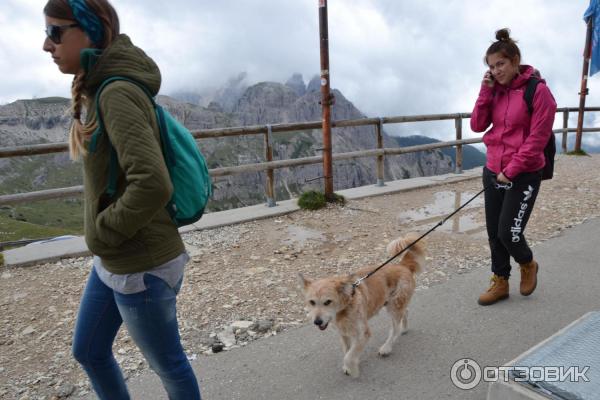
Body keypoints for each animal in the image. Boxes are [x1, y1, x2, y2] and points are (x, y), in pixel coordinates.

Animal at [298, 233, 422, 376]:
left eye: (327, 302)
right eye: (312, 302)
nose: (317, 322)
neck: (345, 308)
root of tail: (402, 266)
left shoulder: (363, 333)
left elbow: (348, 356)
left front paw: (352, 368)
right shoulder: (344, 334)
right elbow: (347, 351)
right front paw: (349, 365)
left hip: (394, 306)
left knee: (394, 329)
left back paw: (386, 347)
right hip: (394, 303)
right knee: (405, 311)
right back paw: (404, 328)